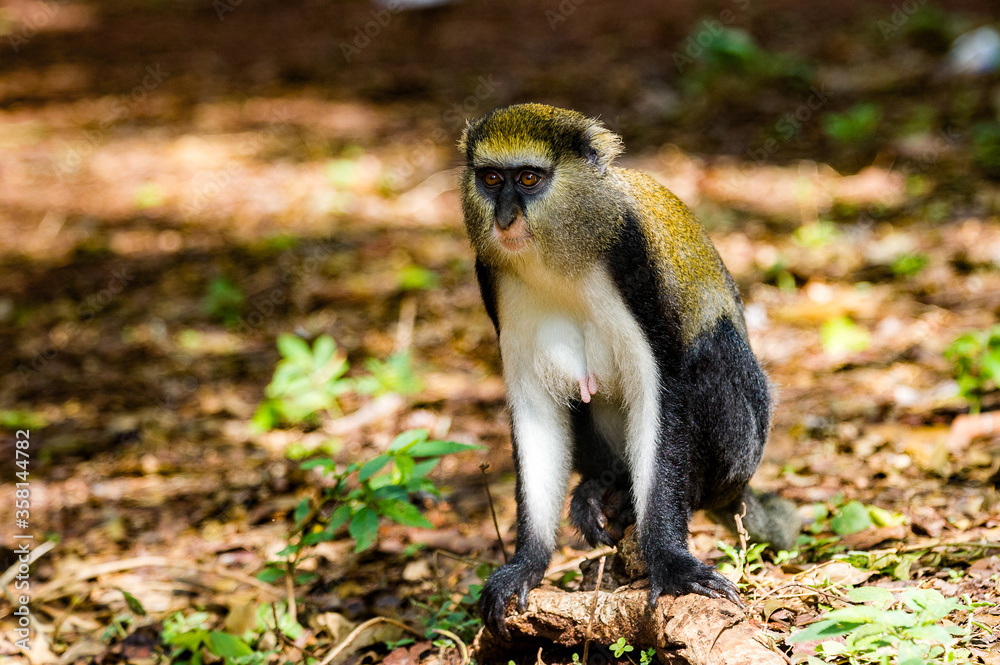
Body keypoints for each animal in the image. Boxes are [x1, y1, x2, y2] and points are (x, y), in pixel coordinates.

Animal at [458, 103, 799, 638]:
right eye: (491, 178)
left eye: (529, 178)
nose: (504, 218)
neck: (559, 254)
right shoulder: (491, 276)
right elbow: (536, 409)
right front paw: (527, 563)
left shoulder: (633, 259)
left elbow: (662, 383)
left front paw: (670, 560)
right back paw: (606, 485)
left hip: (742, 450)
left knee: (712, 350)